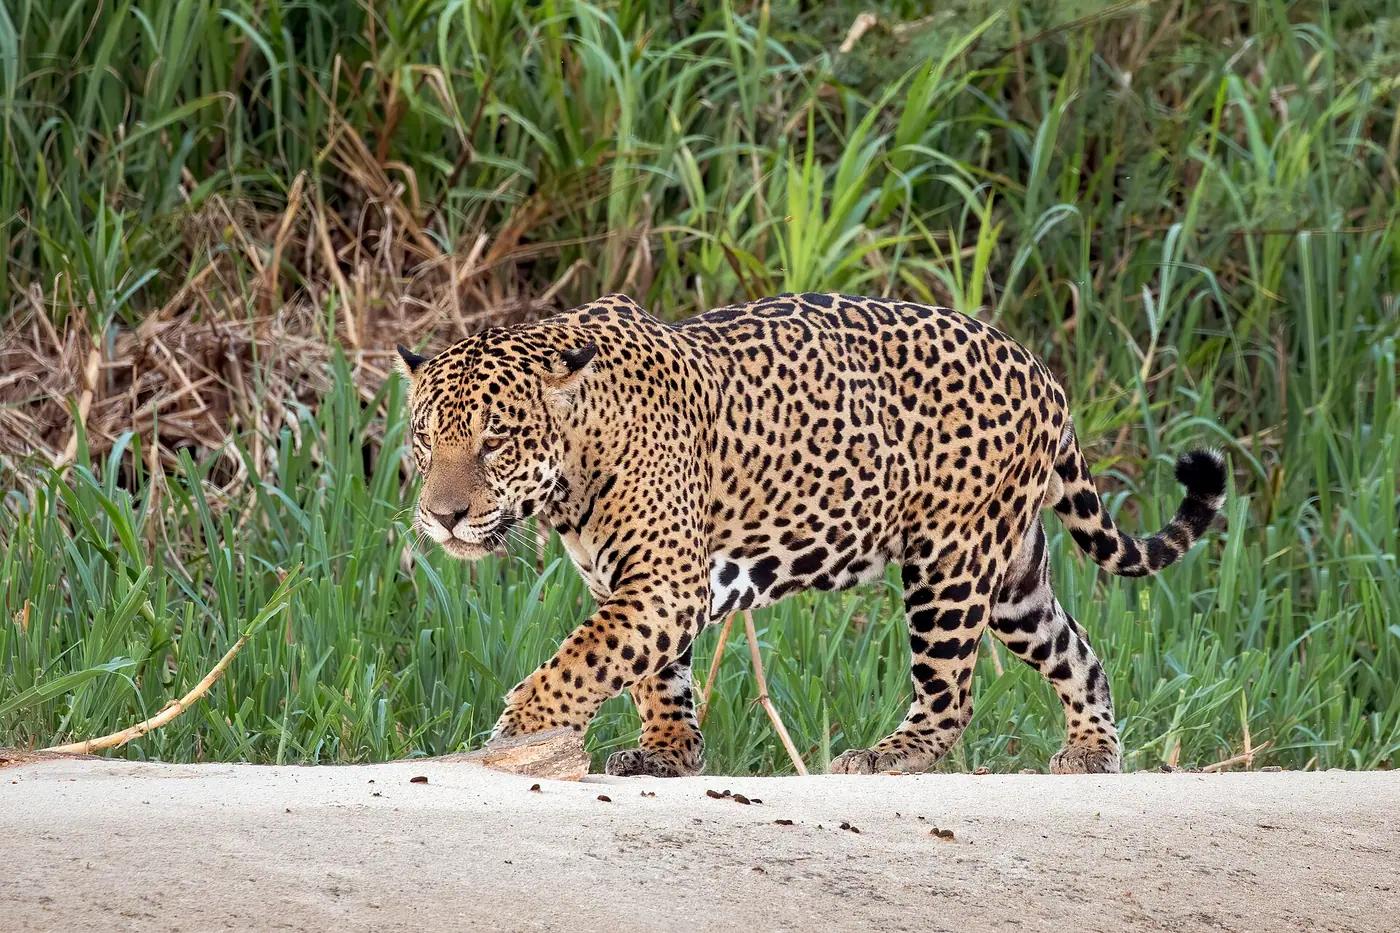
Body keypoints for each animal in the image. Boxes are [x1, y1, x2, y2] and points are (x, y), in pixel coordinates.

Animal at [396, 292, 1226, 777]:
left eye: (495, 442)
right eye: (426, 437)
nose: (442, 515)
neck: (575, 465)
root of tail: (1042, 372)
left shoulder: (665, 583)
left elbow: (582, 658)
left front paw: (519, 727)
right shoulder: (634, 585)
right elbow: (652, 671)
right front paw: (669, 751)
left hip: (950, 562)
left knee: (950, 694)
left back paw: (889, 755)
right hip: (1014, 574)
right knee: (1079, 653)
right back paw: (1091, 751)